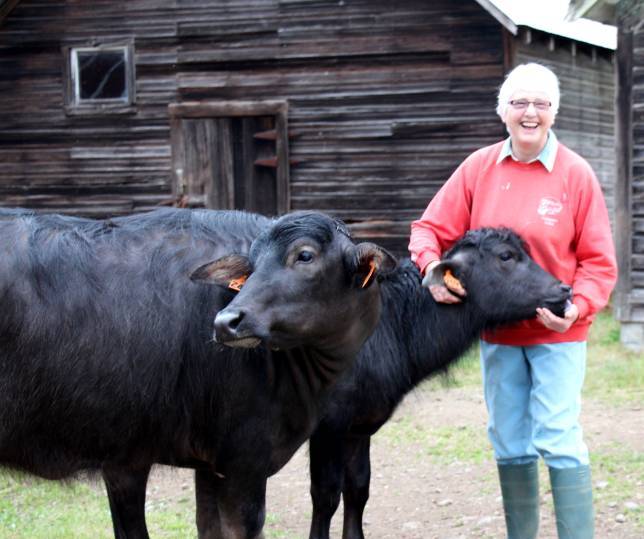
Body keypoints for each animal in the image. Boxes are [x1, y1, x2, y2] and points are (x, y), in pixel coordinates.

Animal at [0, 209, 392, 539]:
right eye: (252, 265)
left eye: (305, 256)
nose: (226, 322)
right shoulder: (242, 464)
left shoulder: (202, 464)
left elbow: (207, 527)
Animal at [306, 227, 568, 539]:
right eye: (505, 256)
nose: (564, 290)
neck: (387, 325)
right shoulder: (326, 428)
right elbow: (325, 496)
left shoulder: (357, 426)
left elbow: (358, 488)